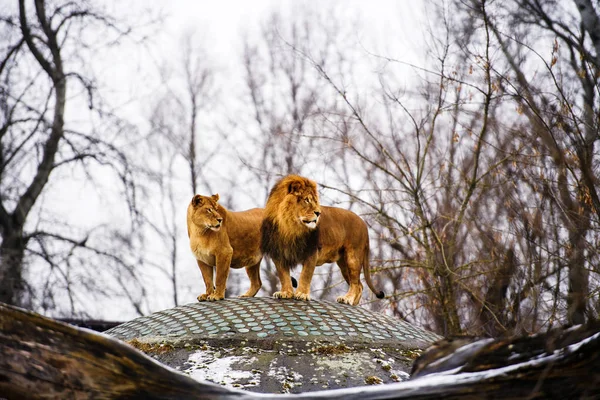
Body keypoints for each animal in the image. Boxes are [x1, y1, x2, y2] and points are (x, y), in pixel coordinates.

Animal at [262, 175, 384, 306]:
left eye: (315, 201)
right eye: (307, 200)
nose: (318, 212)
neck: (289, 225)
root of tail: (364, 225)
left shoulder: (311, 252)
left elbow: (305, 275)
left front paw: (302, 294)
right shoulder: (278, 254)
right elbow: (283, 276)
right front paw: (285, 293)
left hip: (353, 257)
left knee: (356, 284)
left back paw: (347, 299)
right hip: (344, 263)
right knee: (359, 285)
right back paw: (352, 303)